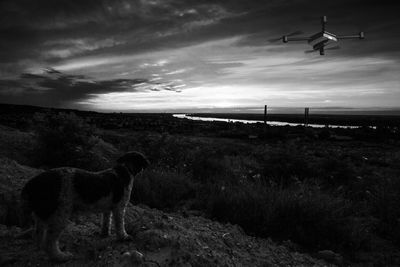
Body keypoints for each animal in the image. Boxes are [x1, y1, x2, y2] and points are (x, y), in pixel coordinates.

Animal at [20, 152, 148, 262]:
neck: (125, 169)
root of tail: (32, 183)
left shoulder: (108, 209)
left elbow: (106, 222)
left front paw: (105, 234)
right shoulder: (120, 208)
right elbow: (120, 225)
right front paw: (124, 237)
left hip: (42, 213)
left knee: (39, 235)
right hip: (60, 214)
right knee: (50, 242)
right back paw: (61, 257)